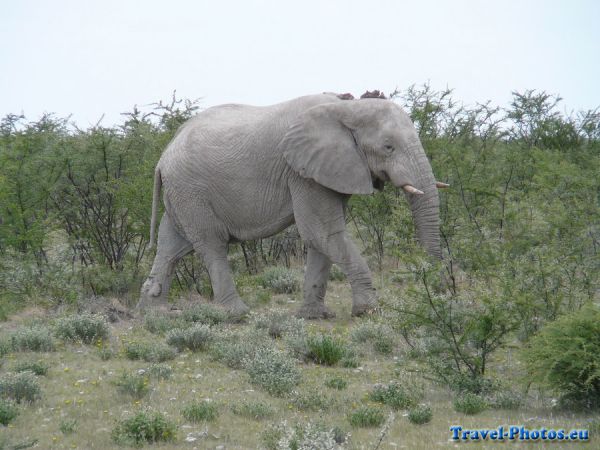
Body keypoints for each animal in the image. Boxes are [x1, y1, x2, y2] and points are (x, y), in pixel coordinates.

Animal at [137, 91, 446, 318]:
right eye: (388, 147)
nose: (432, 283)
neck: (346, 108)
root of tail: (162, 158)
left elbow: (322, 238)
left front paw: (315, 316)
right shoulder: (302, 172)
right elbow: (322, 232)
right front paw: (366, 311)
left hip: (181, 195)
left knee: (171, 246)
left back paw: (154, 313)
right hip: (192, 191)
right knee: (211, 244)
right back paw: (238, 314)